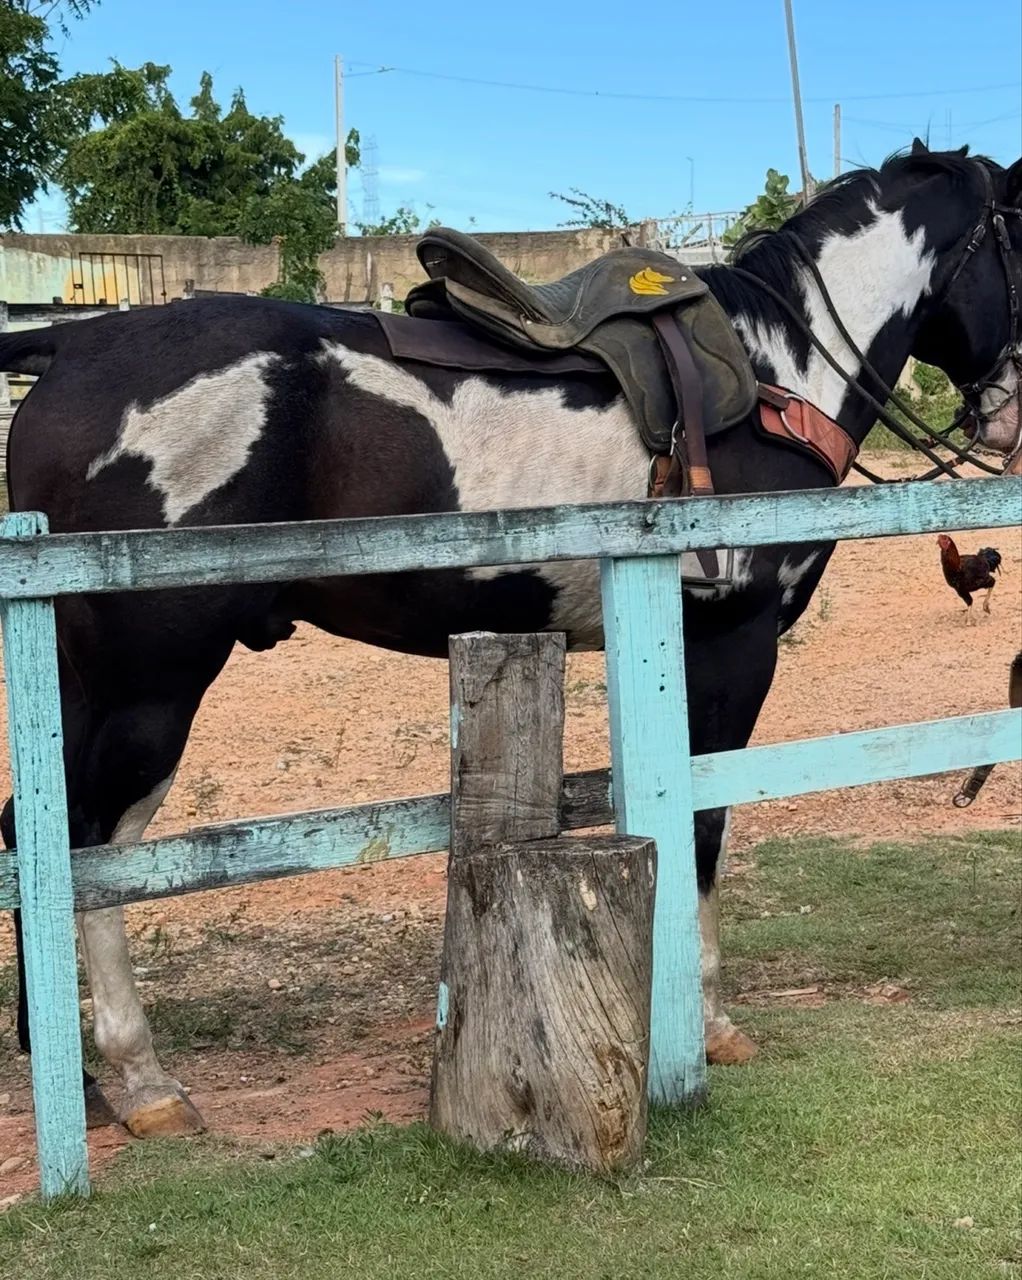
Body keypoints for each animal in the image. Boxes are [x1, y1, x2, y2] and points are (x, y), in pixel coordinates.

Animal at [1, 142, 1019, 1138]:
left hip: (87, 683)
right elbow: (703, 820)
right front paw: (709, 1019)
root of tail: (77, 342)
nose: (1006, 416)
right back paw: (141, 1078)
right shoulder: (730, 642)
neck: (781, 369)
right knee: (91, 846)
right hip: (151, 684)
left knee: (35, 831)